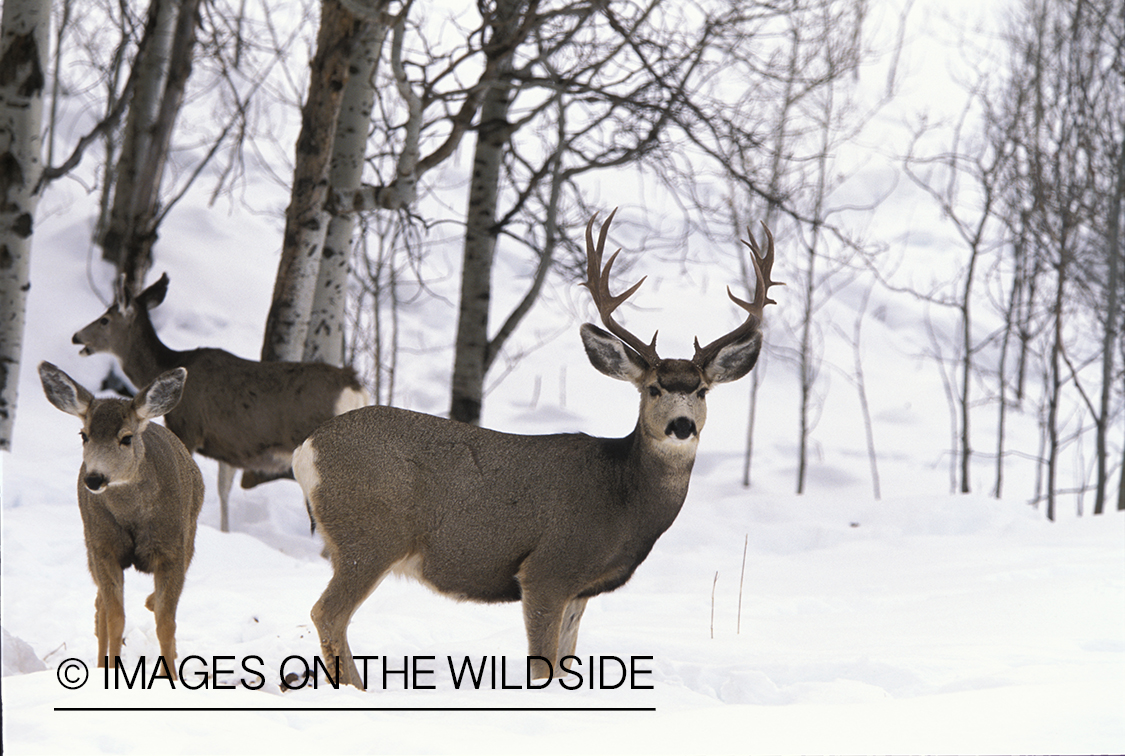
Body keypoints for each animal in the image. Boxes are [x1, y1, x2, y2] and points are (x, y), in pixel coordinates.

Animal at [38, 361, 205, 681]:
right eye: (84, 435)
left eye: (126, 438)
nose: (94, 478)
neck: (133, 517)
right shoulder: (103, 547)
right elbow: (115, 617)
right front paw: (112, 672)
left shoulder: (173, 549)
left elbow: (166, 622)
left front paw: (170, 677)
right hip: (90, 546)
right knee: (100, 606)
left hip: (190, 534)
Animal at [71, 274, 369, 532]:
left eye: (105, 319)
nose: (76, 336)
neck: (168, 364)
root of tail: (355, 386)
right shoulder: (231, 446)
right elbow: (224, 490)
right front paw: (226, 531)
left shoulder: (188, 426)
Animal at [291, 210, 782, 688]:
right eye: (654, 388)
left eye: (700, 390)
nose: (682, 426)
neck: (624, 500)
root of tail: (306, 449)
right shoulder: (548, 569)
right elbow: (543, 666)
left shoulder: (580, 589)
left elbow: (566, 663)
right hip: (371, 535)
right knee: (327, 613)